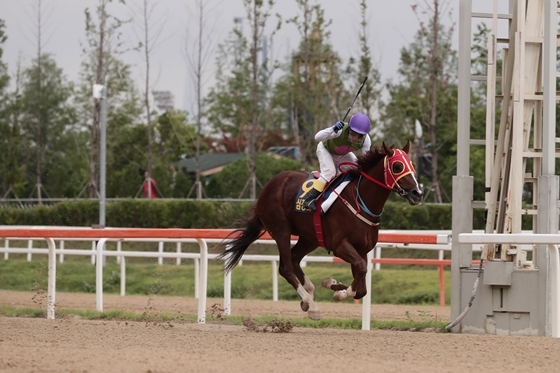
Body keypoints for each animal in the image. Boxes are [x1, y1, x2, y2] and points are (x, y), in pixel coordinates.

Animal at [217, 141, 422, 318]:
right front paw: (339, 292)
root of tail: (268, 186)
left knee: (294, 258)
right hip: (280, 229)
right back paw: (311, 304)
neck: (360, 202)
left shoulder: (362, 249)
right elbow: (361, 270)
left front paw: (333, 284)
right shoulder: (340, 245)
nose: (417, 193)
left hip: (310, 237)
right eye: (397, 166)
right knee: (285, 267)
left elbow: (362, 286)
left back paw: (308, 294)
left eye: (412, 164)